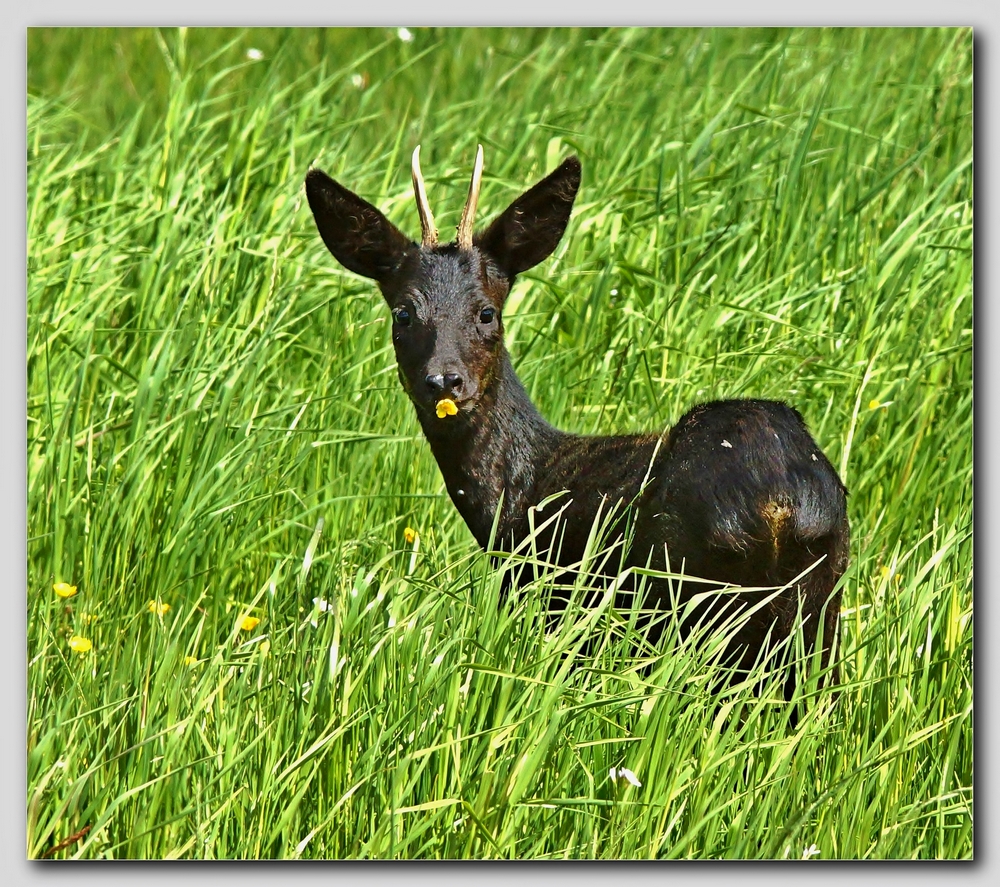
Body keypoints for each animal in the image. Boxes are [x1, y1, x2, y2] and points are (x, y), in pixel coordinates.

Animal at [302, 147, 844, 700]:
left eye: (486, 312)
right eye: (403, 314)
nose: (444, 380)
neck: (520, 493)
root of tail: (782, 503)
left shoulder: (548, 596)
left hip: (691, 597)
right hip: (816, 613)